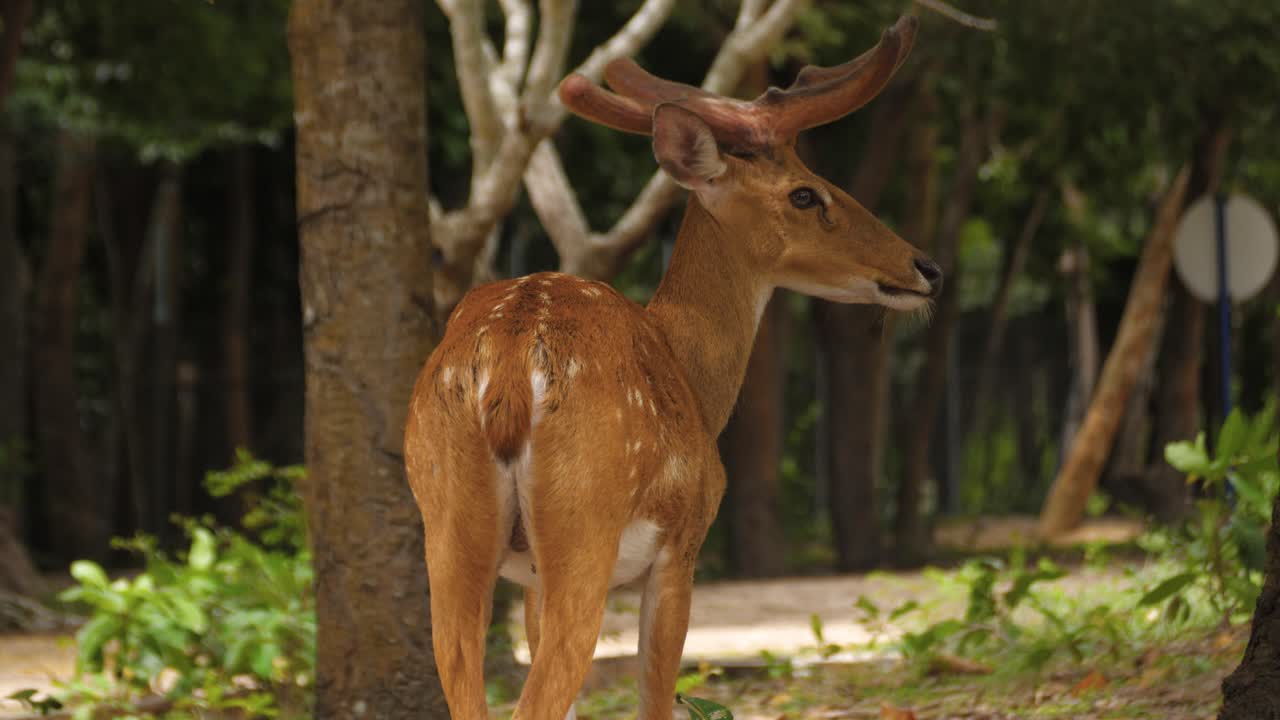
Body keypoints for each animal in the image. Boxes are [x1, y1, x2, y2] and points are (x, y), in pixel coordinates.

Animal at [404, 14, 939, 720]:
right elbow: (656, 700)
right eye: (805, 193)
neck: (693, 376)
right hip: (584, 526)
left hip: (447, 524)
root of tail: (512, 368)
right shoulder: (683, 546)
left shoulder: (530, 583)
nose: (925, 267)